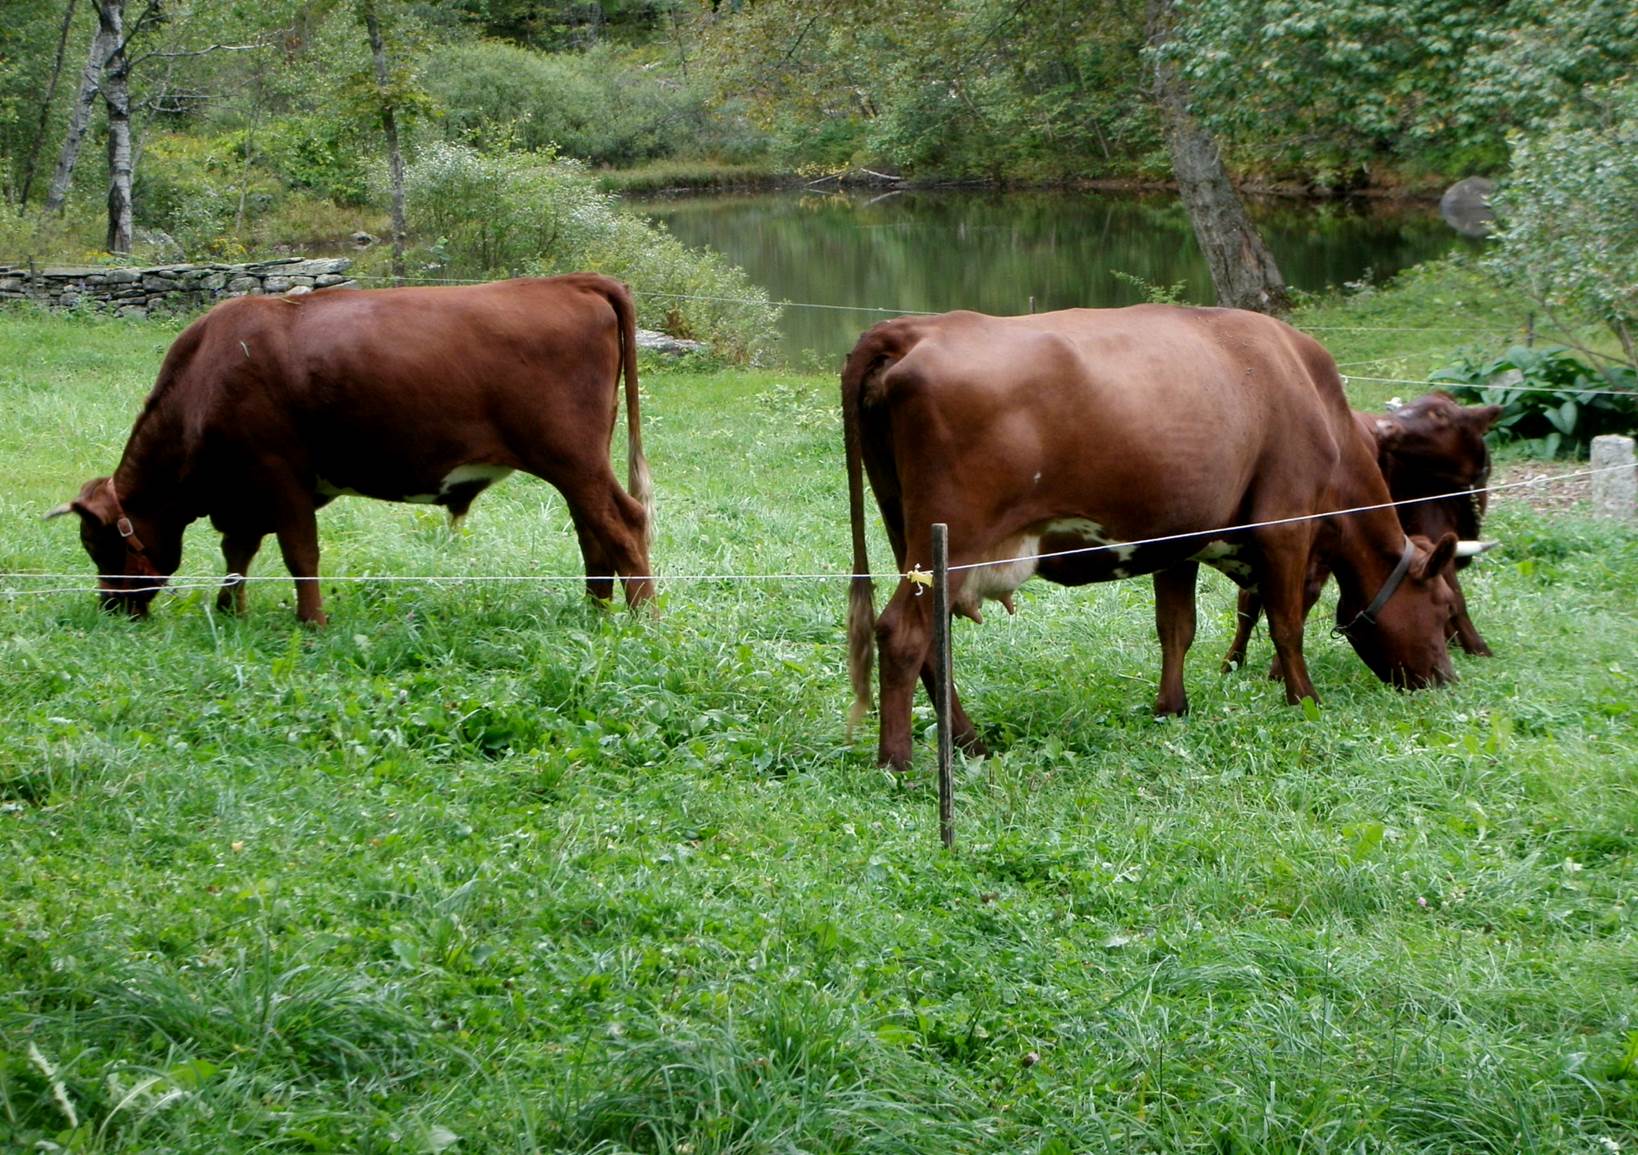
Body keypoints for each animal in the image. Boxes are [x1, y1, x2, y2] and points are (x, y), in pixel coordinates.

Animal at [51, 271, 651, 622]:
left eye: (94, 543)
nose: (110, 607)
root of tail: (572, 281)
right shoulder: (246, 495)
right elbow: (238, 552)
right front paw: (228, 610)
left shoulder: (278, 474)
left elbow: (299, 554)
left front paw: (310, 623)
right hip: (578, 464)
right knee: (592, 530)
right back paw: (594, 612)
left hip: (573, 457)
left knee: (624, 523)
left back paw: (643, 618)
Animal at [845, 306, 1461, 770]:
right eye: (1444, 607)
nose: (1446, 680)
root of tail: (912, 328)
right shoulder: (1285, 524)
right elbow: (1287, 624)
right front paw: (1303, 699)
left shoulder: (1180, 538)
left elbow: (1176, 628)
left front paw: (1171, 707)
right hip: (952, 543)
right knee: (902, 633)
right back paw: (898, 761)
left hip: (912, 536)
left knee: (932, 644)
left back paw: (969, 741)